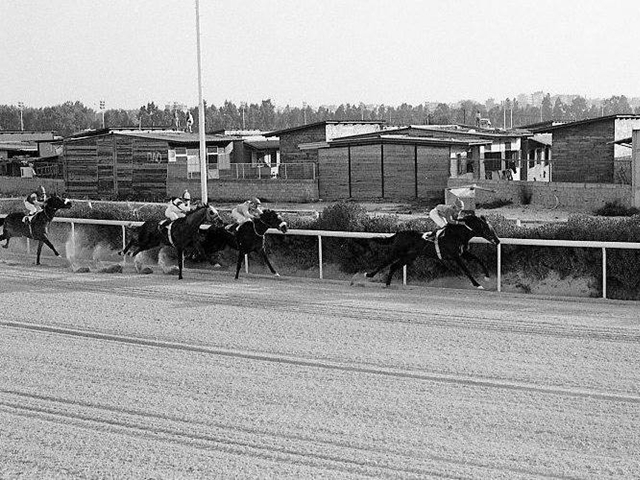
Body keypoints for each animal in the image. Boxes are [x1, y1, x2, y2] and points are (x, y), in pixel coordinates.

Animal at [356, 214, 500, 288]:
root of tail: (398, 233)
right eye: (487, 229)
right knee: (384, 263)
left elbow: (479, 260)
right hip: (397, 252)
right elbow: (466, 270)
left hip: (409, 257)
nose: (498, 241)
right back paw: (368, 275)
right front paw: (477, 284)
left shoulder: (463, 253)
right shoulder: (455, 256)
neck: (458, 235)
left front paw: (487, 277)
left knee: (393, 266)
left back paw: (387, 284)